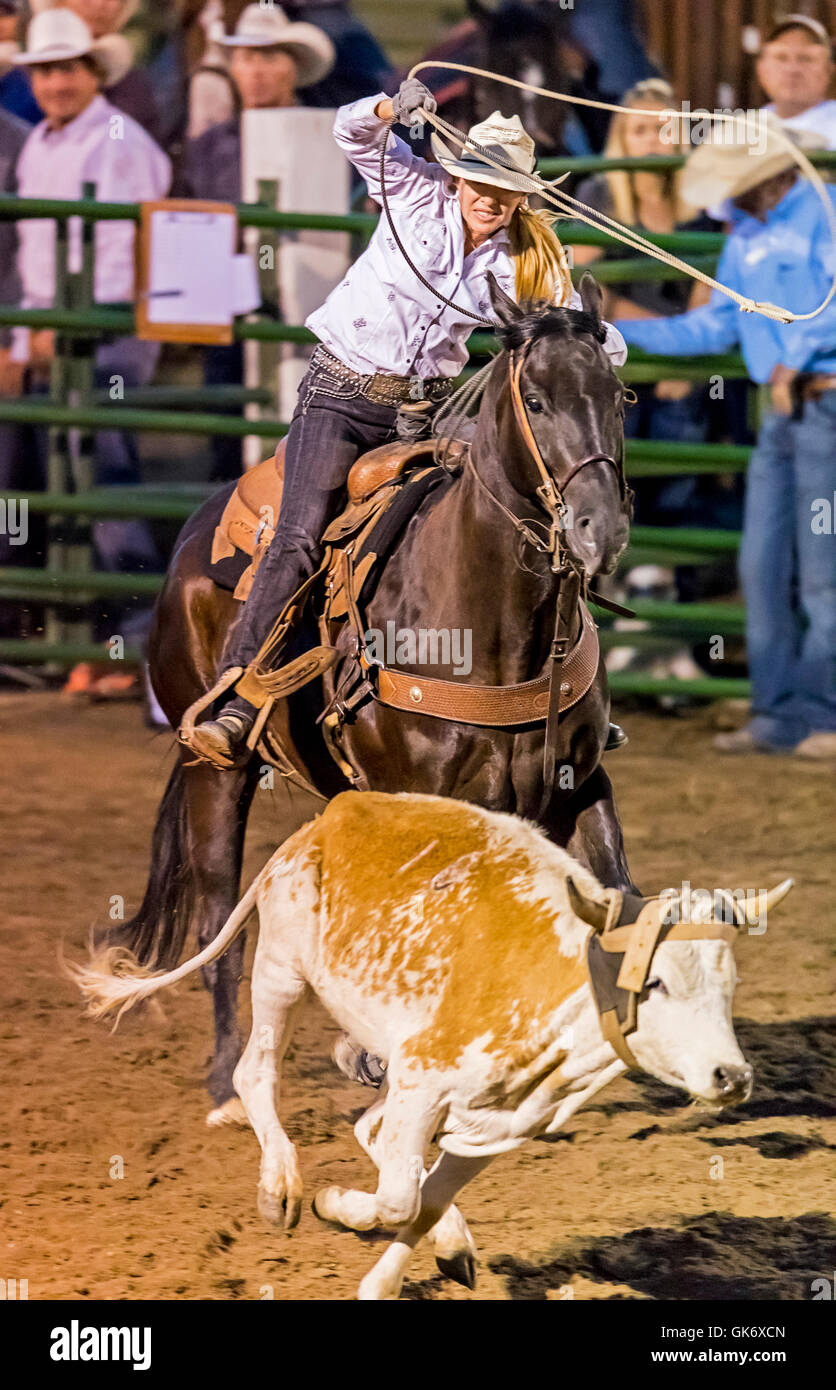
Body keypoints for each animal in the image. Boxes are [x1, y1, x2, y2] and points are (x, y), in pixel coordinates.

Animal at [70, 792, 793, 1301]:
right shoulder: (425, 1077)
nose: (731, 1076)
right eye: (657, 982)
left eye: (729, 986)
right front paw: (336, 1206)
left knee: (372, 1128)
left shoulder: (497, 1121)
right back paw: (282, 1186)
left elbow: (427, 1198)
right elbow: (398, 1201)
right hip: (281, 969)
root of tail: (319, 825)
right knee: (257, 1076)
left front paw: (400, 1272)